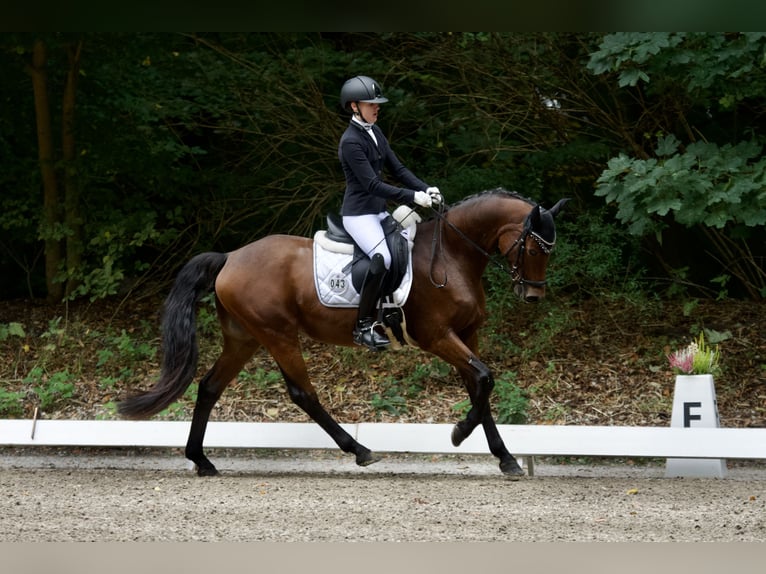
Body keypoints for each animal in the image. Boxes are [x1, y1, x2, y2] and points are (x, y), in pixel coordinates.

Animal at [115, 189, 568, 476]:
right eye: (533, 247)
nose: (532, 295)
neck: (452, 255)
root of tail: (230, 257)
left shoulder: (467, 334)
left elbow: (481, 386)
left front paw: (505, 459)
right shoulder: (437, 336)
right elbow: (484, 379)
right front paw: (458, 433)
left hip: (245, 338)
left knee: (209, 386)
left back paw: (202, 461)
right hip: (277, 334)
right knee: (303, 394)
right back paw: (361, 451)